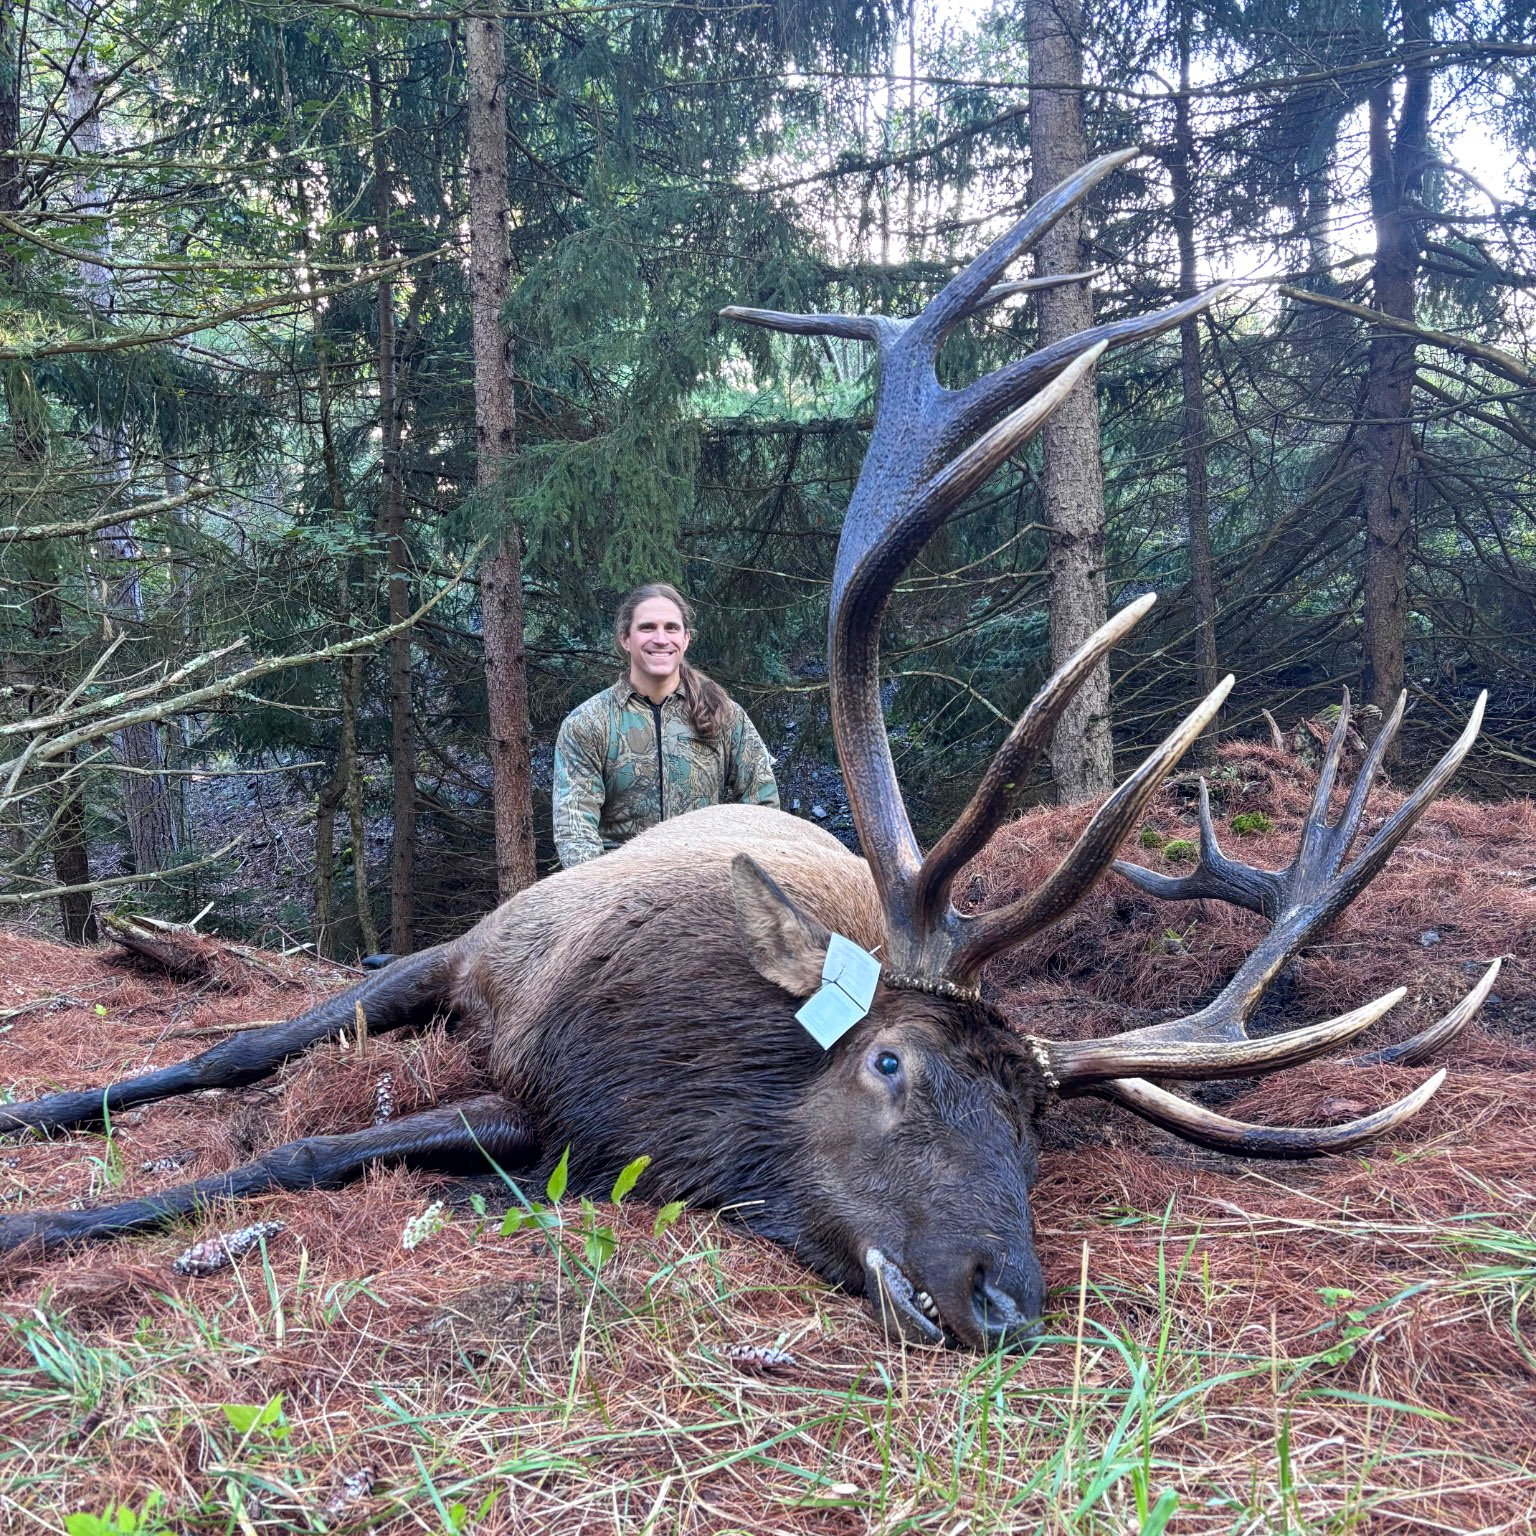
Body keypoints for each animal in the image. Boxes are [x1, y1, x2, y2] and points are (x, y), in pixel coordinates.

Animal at [0, 150, 1496, 1351]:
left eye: (1040, 1122)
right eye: (892, 1065)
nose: (1005, 1298)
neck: (696, 1091)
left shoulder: (580, 1132)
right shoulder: (549, 1068)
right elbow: (295, 1140)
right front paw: (39, 1224)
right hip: (461, 944)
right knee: (242, 1045)